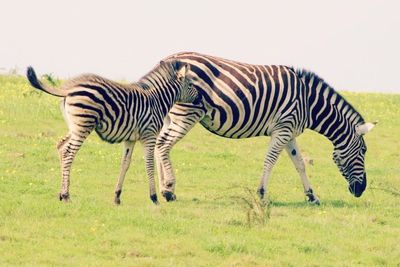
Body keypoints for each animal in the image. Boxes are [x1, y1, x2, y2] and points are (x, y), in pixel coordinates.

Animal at [26, 60, 198, 204]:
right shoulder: (149, 135)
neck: (156, 100)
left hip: (74, 126)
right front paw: (154, 197)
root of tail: (69, 88)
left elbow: (125, 164)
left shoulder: (130, 139)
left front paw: (117, 196)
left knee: (61, 147)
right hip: (83, 125)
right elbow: (149, 164)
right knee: (69, 152)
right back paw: (66, 195)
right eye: (190, 84)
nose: (199, 98)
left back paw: (61, 194)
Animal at [155, 51, 376, 204]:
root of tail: (166, 60)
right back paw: (168, 190)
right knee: (164, 145)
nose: (361, 190)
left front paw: (312, 196)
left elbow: (300, 164)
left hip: (169, 115)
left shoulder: (289, 132)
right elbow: (269, 161)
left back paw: (161, 189)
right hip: (186, 113)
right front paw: (261, 194)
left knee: (158, 145)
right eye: (364, 151)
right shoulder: (283, 129)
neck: (308, 102)